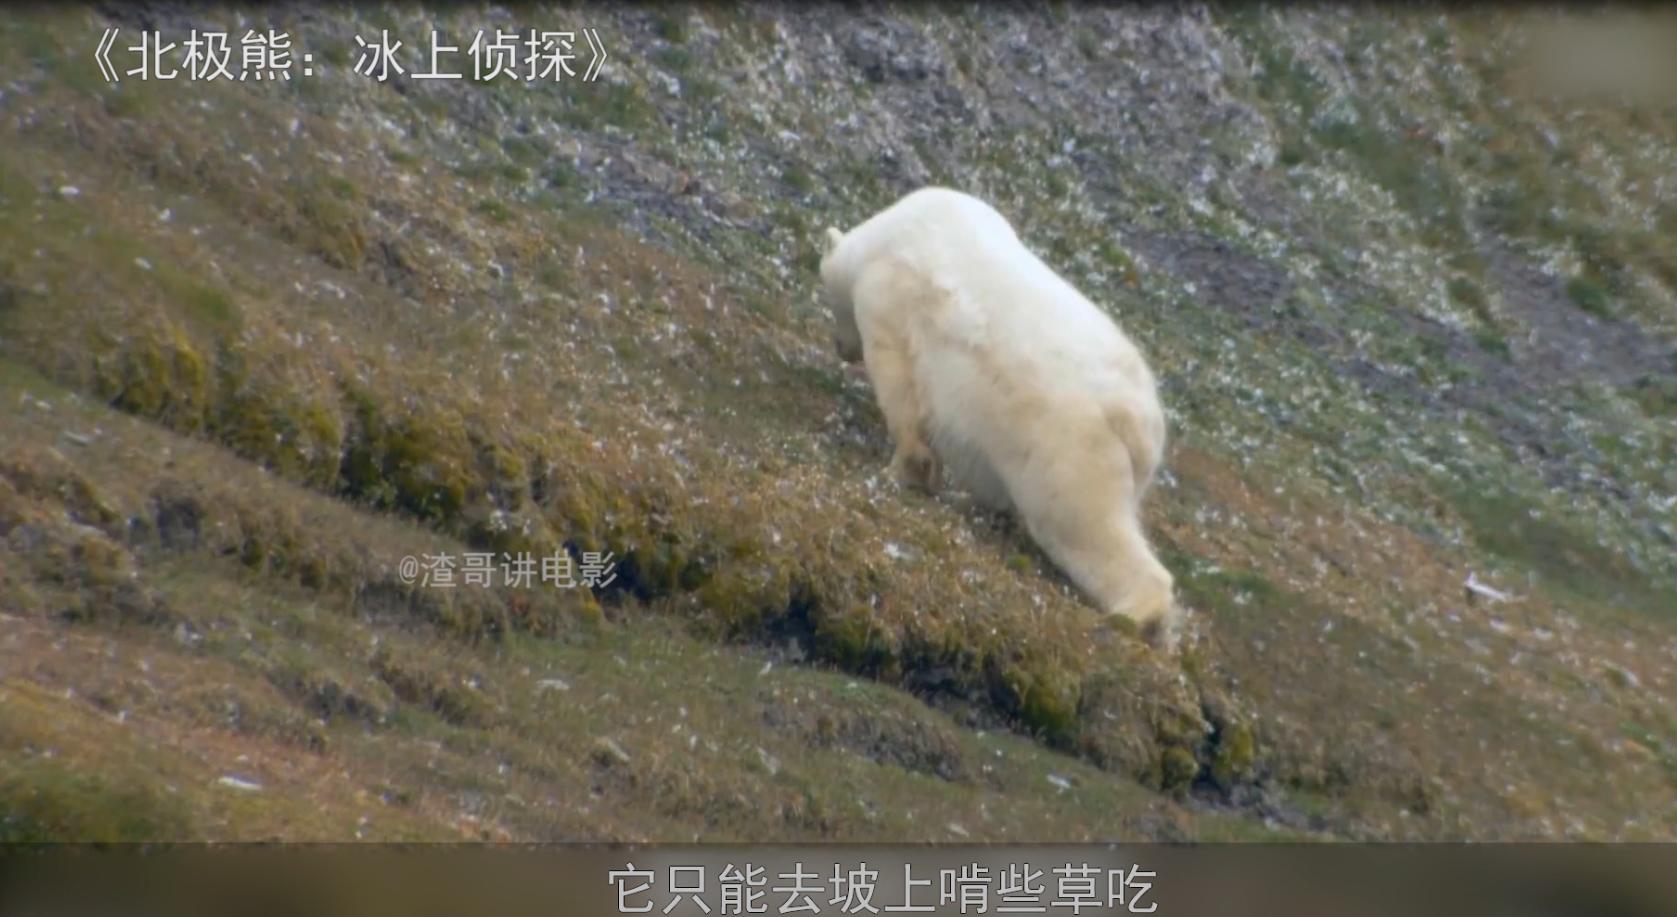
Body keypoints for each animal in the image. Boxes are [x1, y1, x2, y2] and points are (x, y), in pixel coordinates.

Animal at [818, 187, 1182, 649]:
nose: (839, 348)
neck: (888, 233)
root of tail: (1142, 425)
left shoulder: (888, 294)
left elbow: (899, 384)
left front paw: (903, 469)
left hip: (1069, 448)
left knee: (1083, 526)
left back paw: (1130, 614)